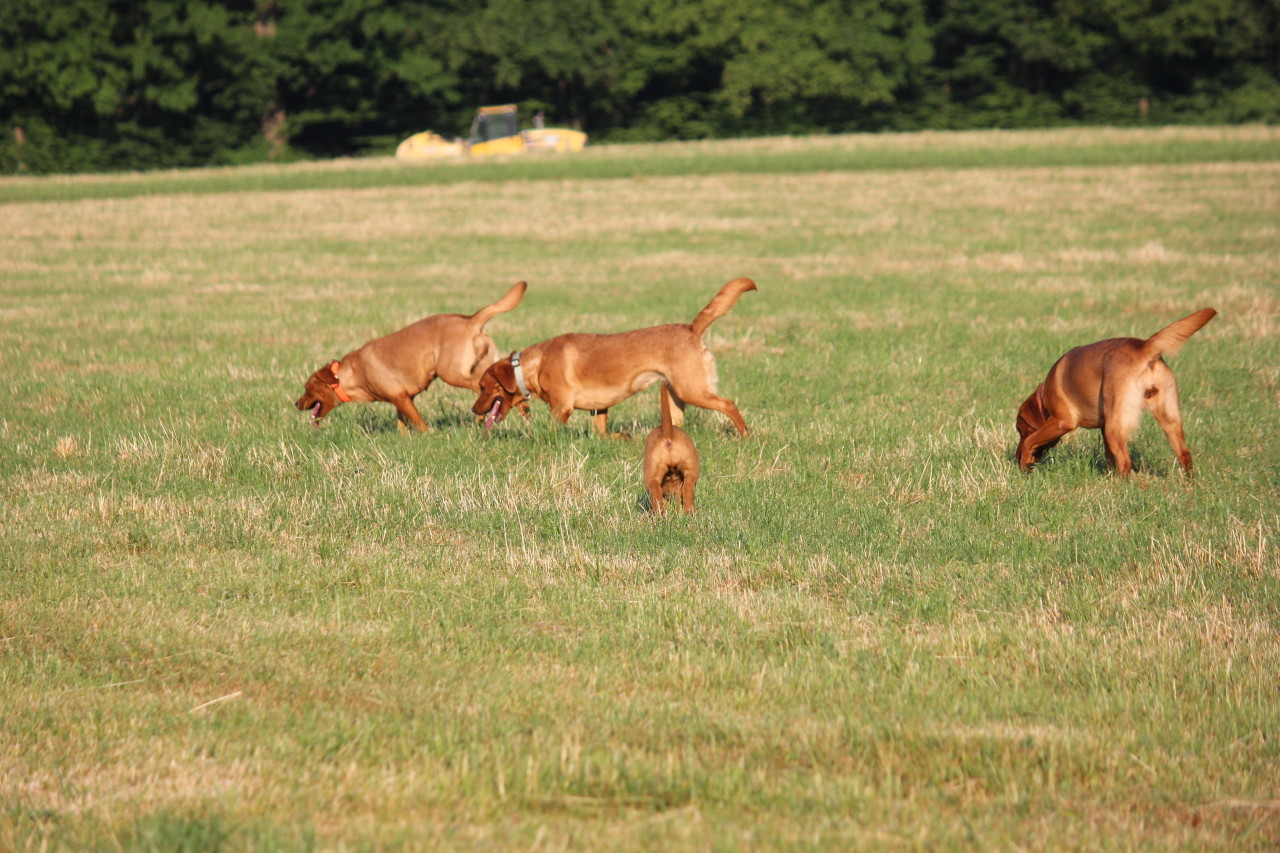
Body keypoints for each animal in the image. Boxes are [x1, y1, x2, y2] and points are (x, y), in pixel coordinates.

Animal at [295, 280, 524, 432]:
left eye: (307, 388)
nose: (296, 404)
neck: (351, 375)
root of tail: (472, 320)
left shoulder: (401, 398)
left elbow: (419, 424)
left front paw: (428, 435)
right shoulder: (402, 398)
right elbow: (401, 424)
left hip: (454, 373)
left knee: (486, 390)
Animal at [471, 279, 752, 435]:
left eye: (483, 387)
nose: (473, 409)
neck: (532, 365)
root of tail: (692, 329)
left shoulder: (561, 407)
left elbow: (549, 430)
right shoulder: (599, 408)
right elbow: (602, 433)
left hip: (693, 389)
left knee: (729, 404)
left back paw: (745, 434)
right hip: (676, 395)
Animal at [1018, 307, 1218, 479]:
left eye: (1021, 431)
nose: (1015, 455)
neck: (1044, 397)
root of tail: (1144, 348)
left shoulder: (1063, 421)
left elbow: (1031, 441)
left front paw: (1023, 465)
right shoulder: (1103, 426)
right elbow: (1108, 458)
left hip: (1115, 426)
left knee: (1125, 463)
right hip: (1168, 418)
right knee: (1185, 454)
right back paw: (1190, 485)